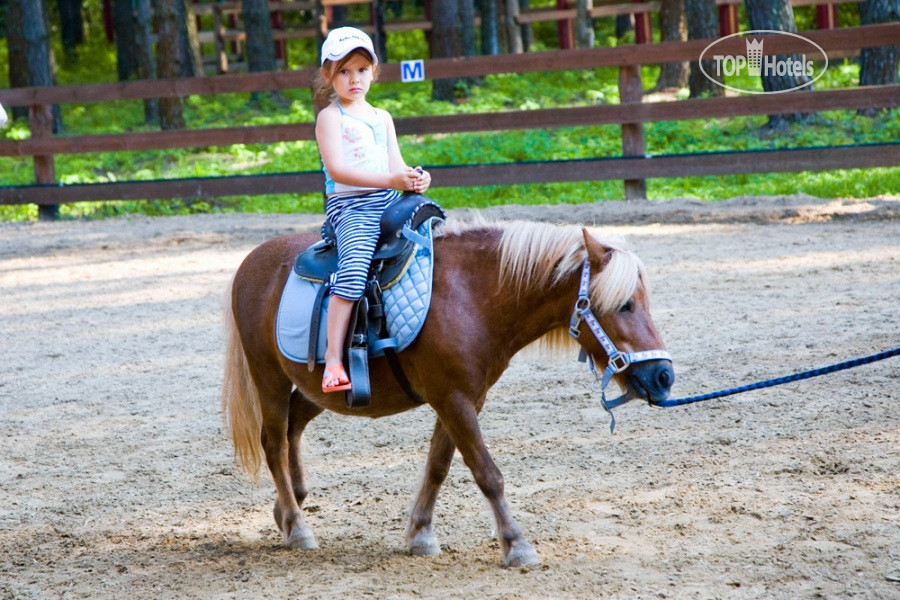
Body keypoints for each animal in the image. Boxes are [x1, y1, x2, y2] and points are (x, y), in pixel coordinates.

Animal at [223, 220, 676, 568]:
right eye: (625, 305)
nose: (664, 377)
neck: (472, 297)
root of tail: (251, 261)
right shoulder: (454, 399)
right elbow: (487, 473)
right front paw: (516, 544)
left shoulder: (463, 398)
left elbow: (439, 466)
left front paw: (421, 534)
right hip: (269, 376)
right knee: (273, 443)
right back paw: (297, 526)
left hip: (317, 389)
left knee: (292, 428)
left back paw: (288, 510)